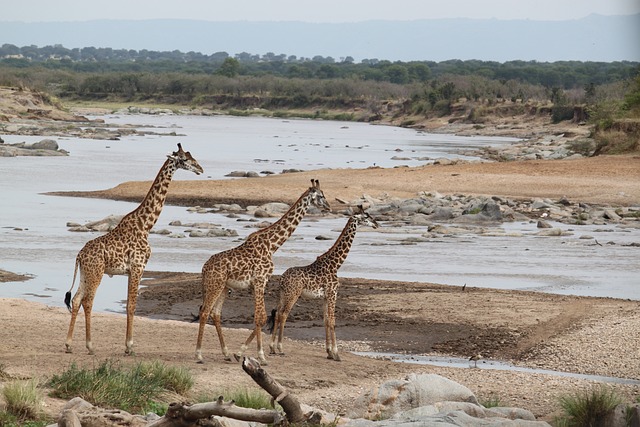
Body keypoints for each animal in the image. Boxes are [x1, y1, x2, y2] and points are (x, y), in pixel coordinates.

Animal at [62, 143, 202, 354]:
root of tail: (79, 255)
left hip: (86, 273)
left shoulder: (130, 270)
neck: (146, 225)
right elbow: (132, 306)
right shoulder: (138, 267)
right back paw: (90, 345)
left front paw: (127, 345)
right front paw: (129, 346)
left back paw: (69, 344)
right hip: (96, 272)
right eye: (184, 159)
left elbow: (129, 304)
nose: (200, 169)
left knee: (76, 299)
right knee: (87, 301)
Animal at [195, 180, 330, 364]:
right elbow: (261, 317)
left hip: (223, 286)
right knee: (204, 312)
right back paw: (199, 355)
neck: (272, 245)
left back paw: (226, 353)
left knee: (215, 313)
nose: (329, 207)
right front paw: (261, 355)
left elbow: (260, 317)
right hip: (215, 285)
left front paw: (242, 353)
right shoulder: (260, 280)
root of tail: (204, 268)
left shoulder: (256, 284)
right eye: (321, 195)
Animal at [268, 204, 378, 362]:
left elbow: (326, 320)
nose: (376, 224)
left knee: (277, 314)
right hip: (293, 294)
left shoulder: (325, 296)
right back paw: (280, 348)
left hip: (282, 294)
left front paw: (329, 352)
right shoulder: (333, 293)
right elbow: (332, 321)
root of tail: (282, 279)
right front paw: (336, 354)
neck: (336, 264)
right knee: (283, 315)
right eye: (366, 217)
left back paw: (271, 347)